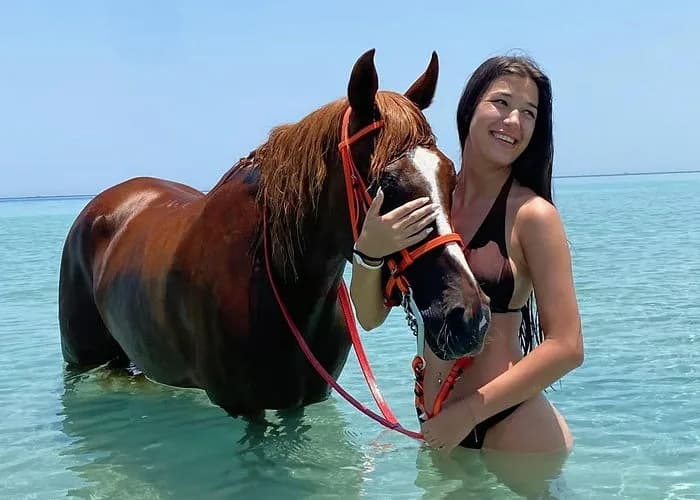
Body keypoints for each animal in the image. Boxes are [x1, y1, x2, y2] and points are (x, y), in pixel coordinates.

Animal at [58, 49, 491, 420]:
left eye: (450, 175)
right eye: (386, 182)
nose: (469, 316)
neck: (281, 285)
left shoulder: (302, 400)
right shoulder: (243, 408)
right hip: (79, 359)